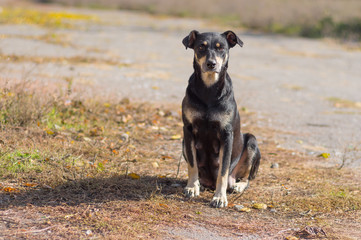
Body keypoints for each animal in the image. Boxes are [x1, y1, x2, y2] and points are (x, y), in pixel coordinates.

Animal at [181, 30, 260, 207]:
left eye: (221, 48)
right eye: (201, 47)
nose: (211, 64)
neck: (209, 89)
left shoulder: (226, 134)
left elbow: (223, 171)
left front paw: (219, 197)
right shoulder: (188, 130)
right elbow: (192, 165)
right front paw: (192, 187)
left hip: (252, 142)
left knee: (245, 178)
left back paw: (237, 186)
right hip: (183, 143)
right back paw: (200, 184)